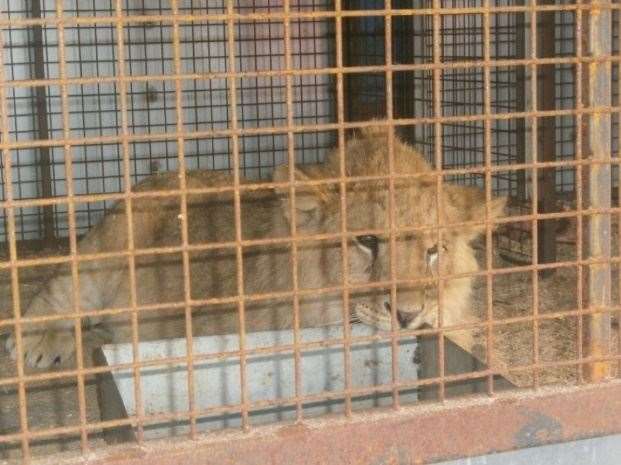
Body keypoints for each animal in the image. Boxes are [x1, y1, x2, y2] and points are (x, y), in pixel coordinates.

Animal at [3, 124, 504, 370]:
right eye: (367, 241)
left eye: (434, 251)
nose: (408, 315)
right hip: (106, 249)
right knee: (56, 294)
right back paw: (39, 343)